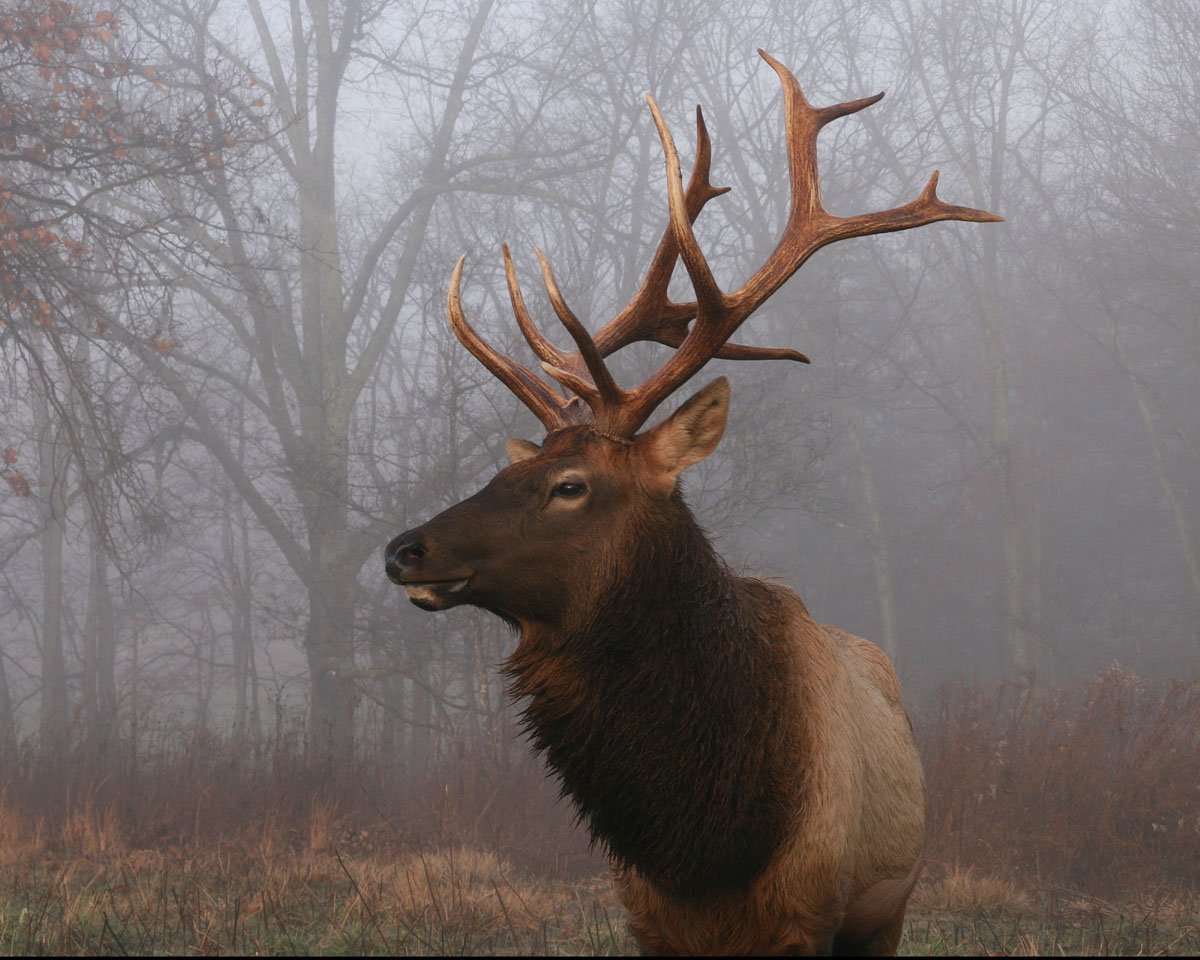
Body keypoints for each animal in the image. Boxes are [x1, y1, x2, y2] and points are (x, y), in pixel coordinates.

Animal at [385, 51, 1000, 956]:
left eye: (570, 487)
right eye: (506, 473)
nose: (404, 550)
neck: (707, 838)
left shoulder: (808, 911)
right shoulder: (647, 914)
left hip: (890, 904)